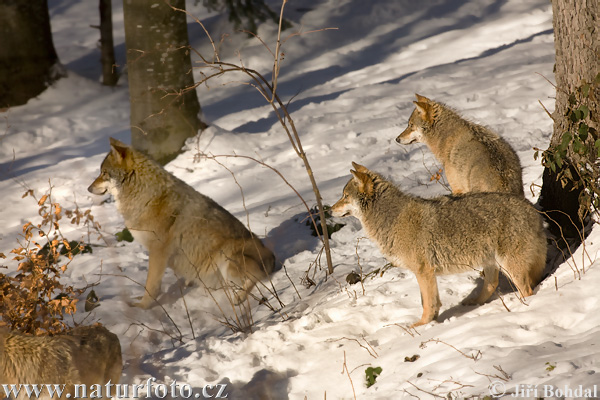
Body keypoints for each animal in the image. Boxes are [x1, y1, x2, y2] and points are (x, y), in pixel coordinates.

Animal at [88, 138, 276, 310]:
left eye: (104, 173)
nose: (88, 188)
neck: (146, 195)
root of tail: (272, 257)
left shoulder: (157, 251)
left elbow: (151, 286)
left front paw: (142, 307)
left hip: (227, 257)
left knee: (257, 278)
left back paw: (239, 297)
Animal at [330, 163, 548, 328]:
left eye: (344, 196)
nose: (330, 210)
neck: (392, 218)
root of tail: (534, 211)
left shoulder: (423, 271)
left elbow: (428, 304)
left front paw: (421, 326)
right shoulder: (425, 274)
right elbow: (429, 302)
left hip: (508, 265)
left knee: (527, 289)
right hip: (491, 262)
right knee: (492, 285)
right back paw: (473, 303)